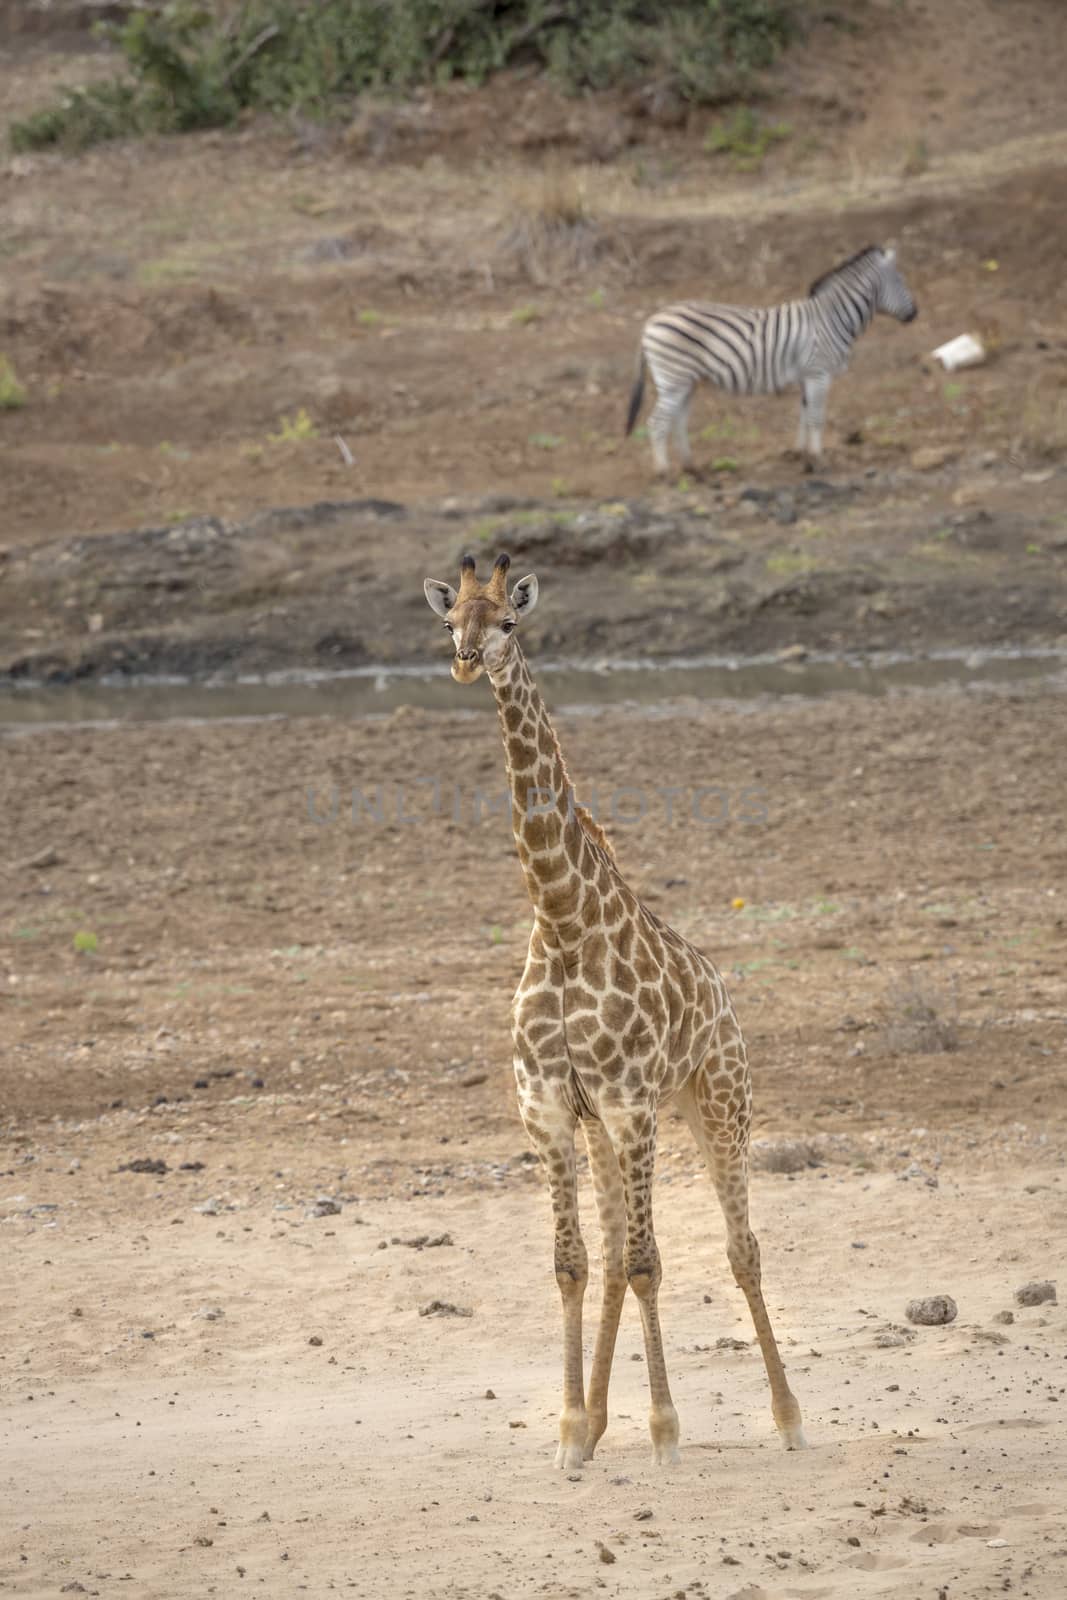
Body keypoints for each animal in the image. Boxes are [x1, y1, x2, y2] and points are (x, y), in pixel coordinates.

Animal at [422, 553, 806, 1472]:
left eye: (509, 623)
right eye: (449, 620)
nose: (465, 661)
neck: (562, 922)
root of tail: (722, 990)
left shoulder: (634, 1105)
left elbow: (645, 1264)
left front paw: (665, 1432)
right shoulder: (550, 1108)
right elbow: (573, 1265)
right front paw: (570, 1432)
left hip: (718, 1101)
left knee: (740, 1249)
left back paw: (787, 1419)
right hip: (609, 1127)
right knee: (607, 1255)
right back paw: (598, 1422)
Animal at [627, 240, 921, 470]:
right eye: (901, 281)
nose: (915, 314)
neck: (832, 318)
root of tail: (650, 321)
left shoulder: (807, 375)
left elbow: (804, 414)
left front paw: (802, 456)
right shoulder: (819, 373)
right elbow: (816, 417)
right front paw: (818, 460)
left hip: (686, 381)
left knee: (678, 420)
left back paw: (691, 468)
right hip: (674, 379)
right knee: (657, 422)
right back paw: (664, 472)